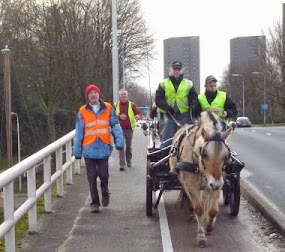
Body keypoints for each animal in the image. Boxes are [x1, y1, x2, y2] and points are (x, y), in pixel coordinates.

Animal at [169, 111, 231, 247]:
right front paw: (201, 235)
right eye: (204, 153)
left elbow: (213, 210)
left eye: (226, 156)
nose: (215, 184)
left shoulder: (216, 184)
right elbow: (198, 208)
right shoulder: (192, 185)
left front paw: (209, 225)